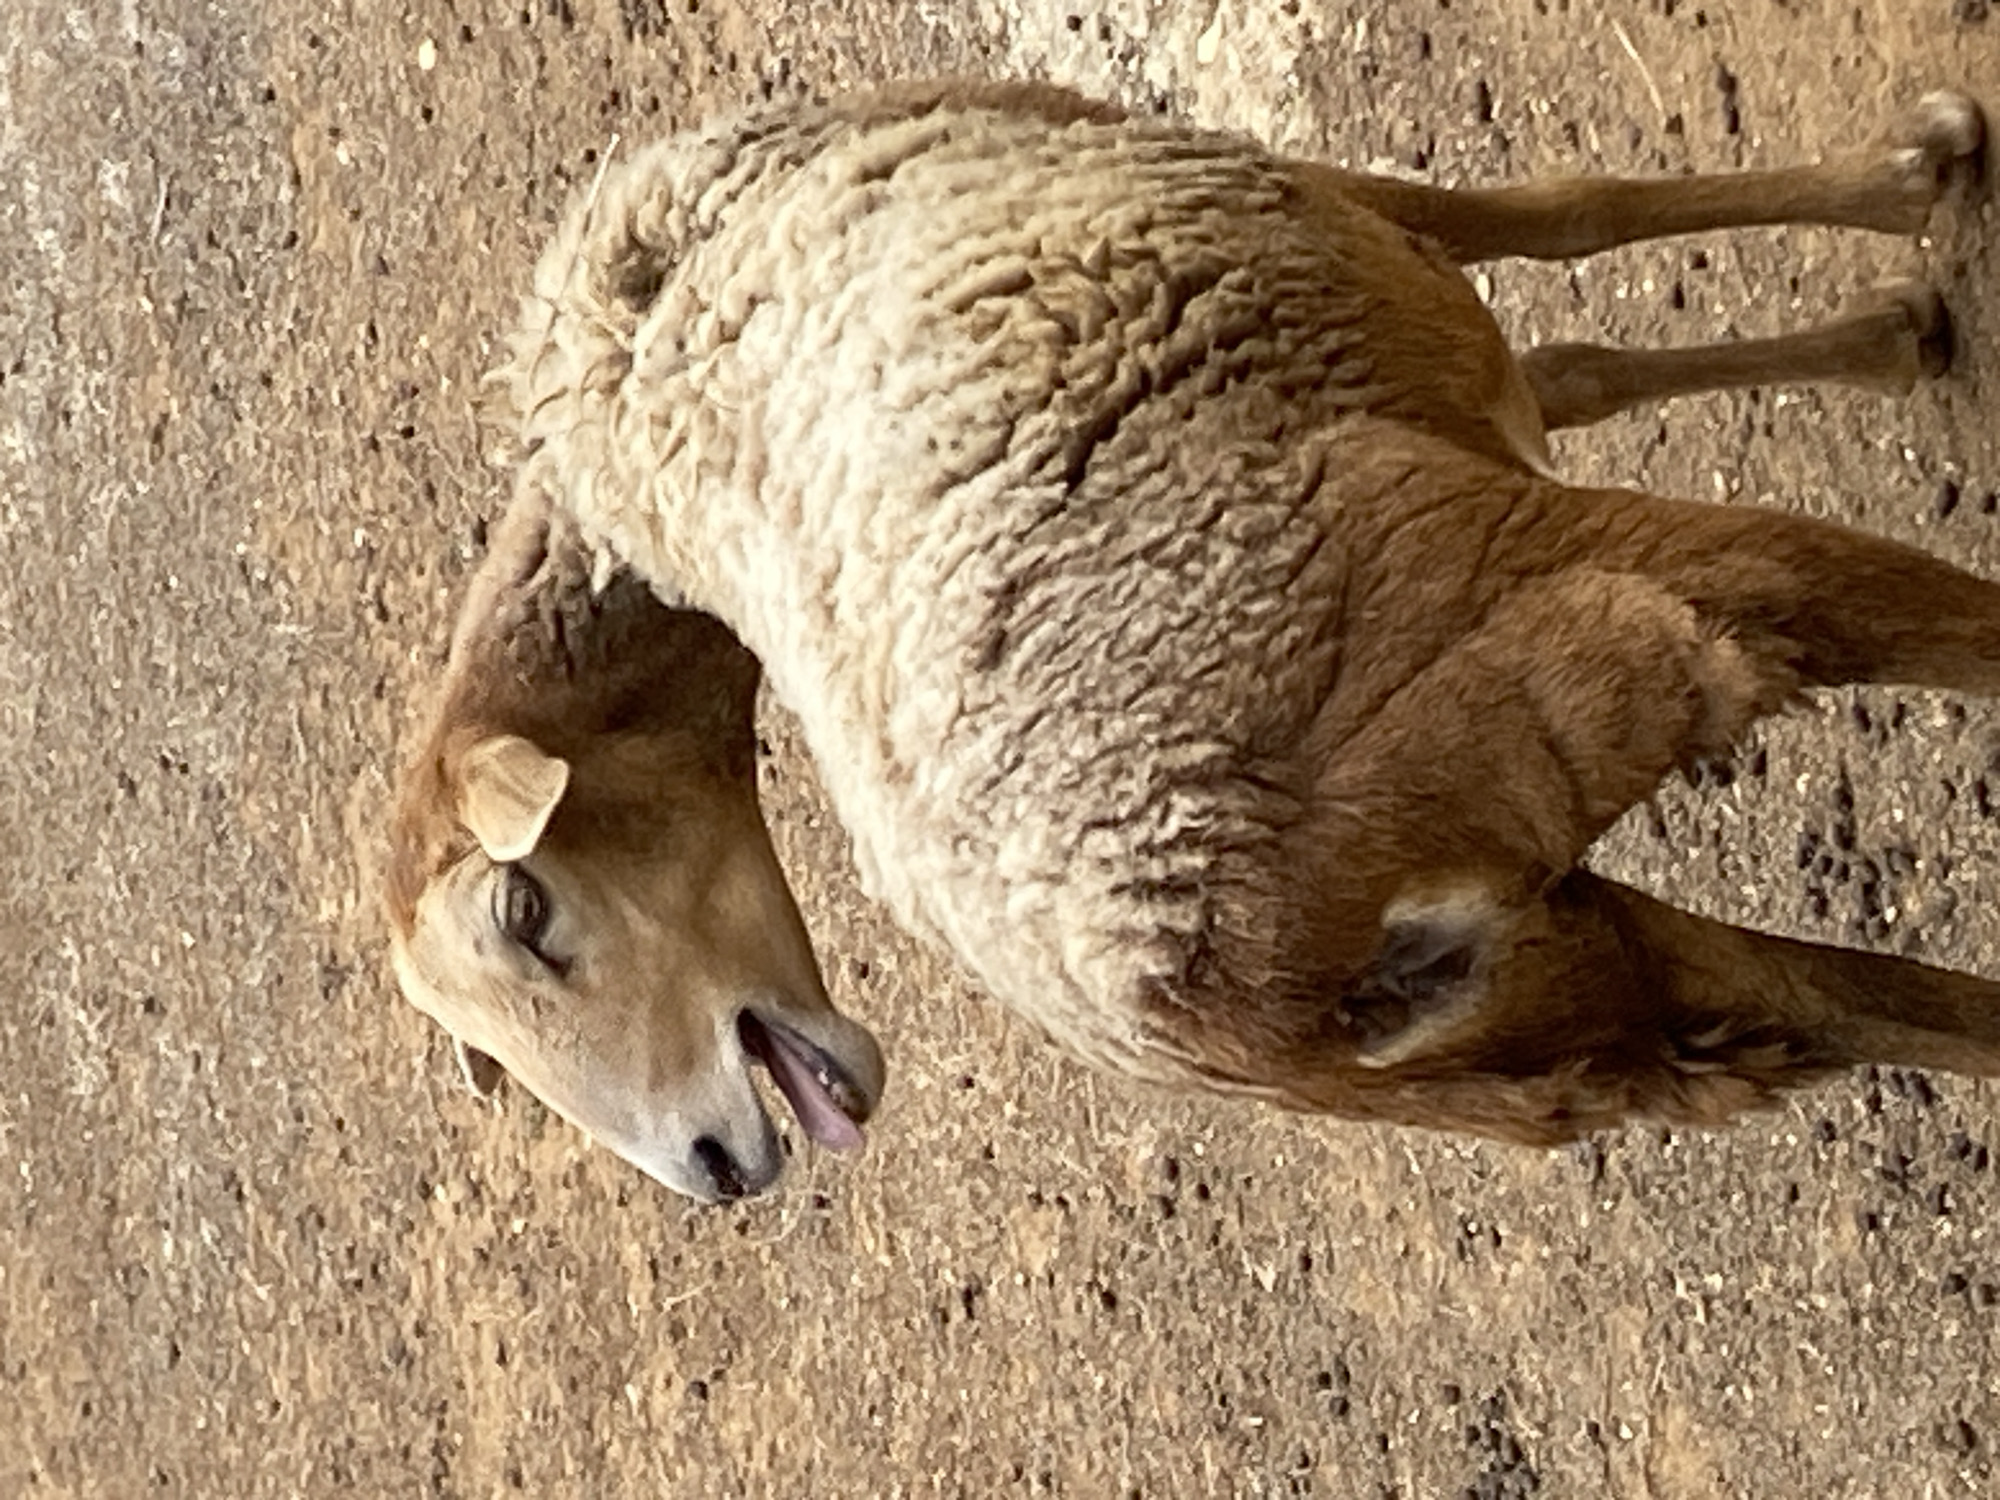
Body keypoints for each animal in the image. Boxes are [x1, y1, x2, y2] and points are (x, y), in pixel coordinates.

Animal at [391, 79, 2000, 1201]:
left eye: (528, 914)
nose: (713, 1171)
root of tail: (1246, 995)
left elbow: (1565, 317)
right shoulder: (1339, 229)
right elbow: (1566, 219)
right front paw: (1914, 211)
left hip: (1588, 1011)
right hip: (1633, 610)